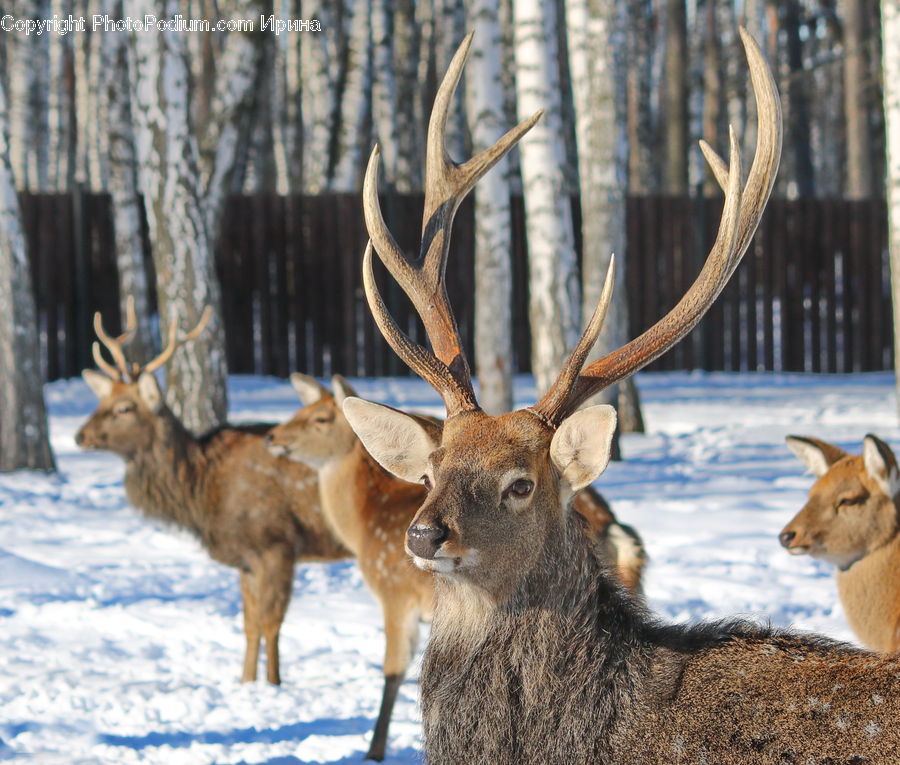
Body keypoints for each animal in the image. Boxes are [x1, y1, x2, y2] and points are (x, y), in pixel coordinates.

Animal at [75, 301, 349, 686]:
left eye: (124, 408)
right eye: (101, 401)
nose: (80, 435)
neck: (202, 493)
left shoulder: (276, 545)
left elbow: (271, 623)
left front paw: (274, 684)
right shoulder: (246, 558)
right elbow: (249, 625)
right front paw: (246, 683)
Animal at [264, 373, 647, 760]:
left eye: (320, 419)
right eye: (425, 478)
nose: (271, 437)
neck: (361, 526)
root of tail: (613, 525)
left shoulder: (394, 595)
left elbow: (392, 671)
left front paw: (374, 750)